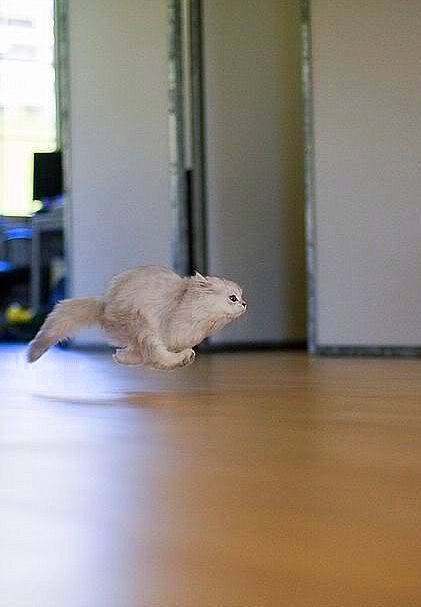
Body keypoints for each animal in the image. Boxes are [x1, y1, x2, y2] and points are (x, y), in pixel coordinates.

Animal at [26, 266, 246, 370]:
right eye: (232, 298)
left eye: (241, 297)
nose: (245, 304)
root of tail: (105, 304)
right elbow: (156, 355)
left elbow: (143, 356)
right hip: (141, 324)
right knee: (157, 355)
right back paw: (183, 358)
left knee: (137, 354)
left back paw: (121, 356)